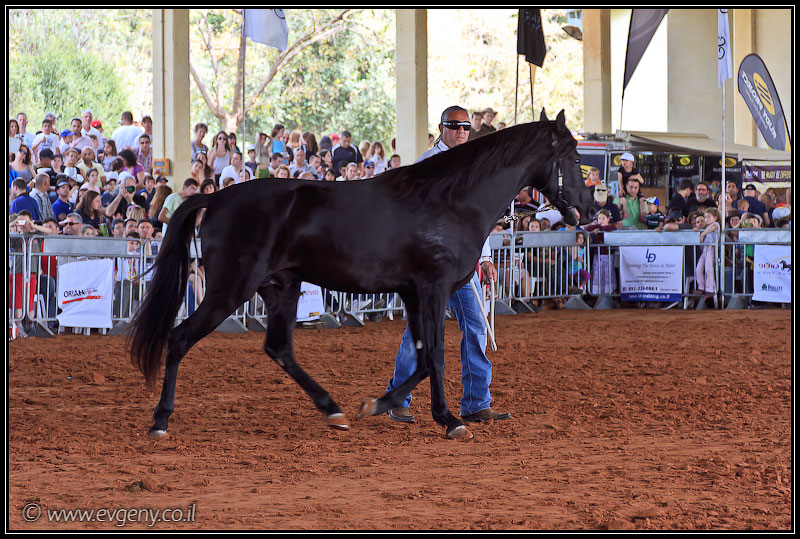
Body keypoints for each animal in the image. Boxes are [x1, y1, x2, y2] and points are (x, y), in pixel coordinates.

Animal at [128, 109, 593, 440]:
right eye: (574, 158)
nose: (587, 208)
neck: (450, 200)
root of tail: (216, 199)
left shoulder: (412, 293)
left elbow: (423, 357)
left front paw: (398, 407)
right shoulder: (433, 288)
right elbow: (435, 355)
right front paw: (441, 417)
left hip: (282, 286)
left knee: (279, 348)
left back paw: (332, 409)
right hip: (229, 289)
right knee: (179, 338)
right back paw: (160, 422)